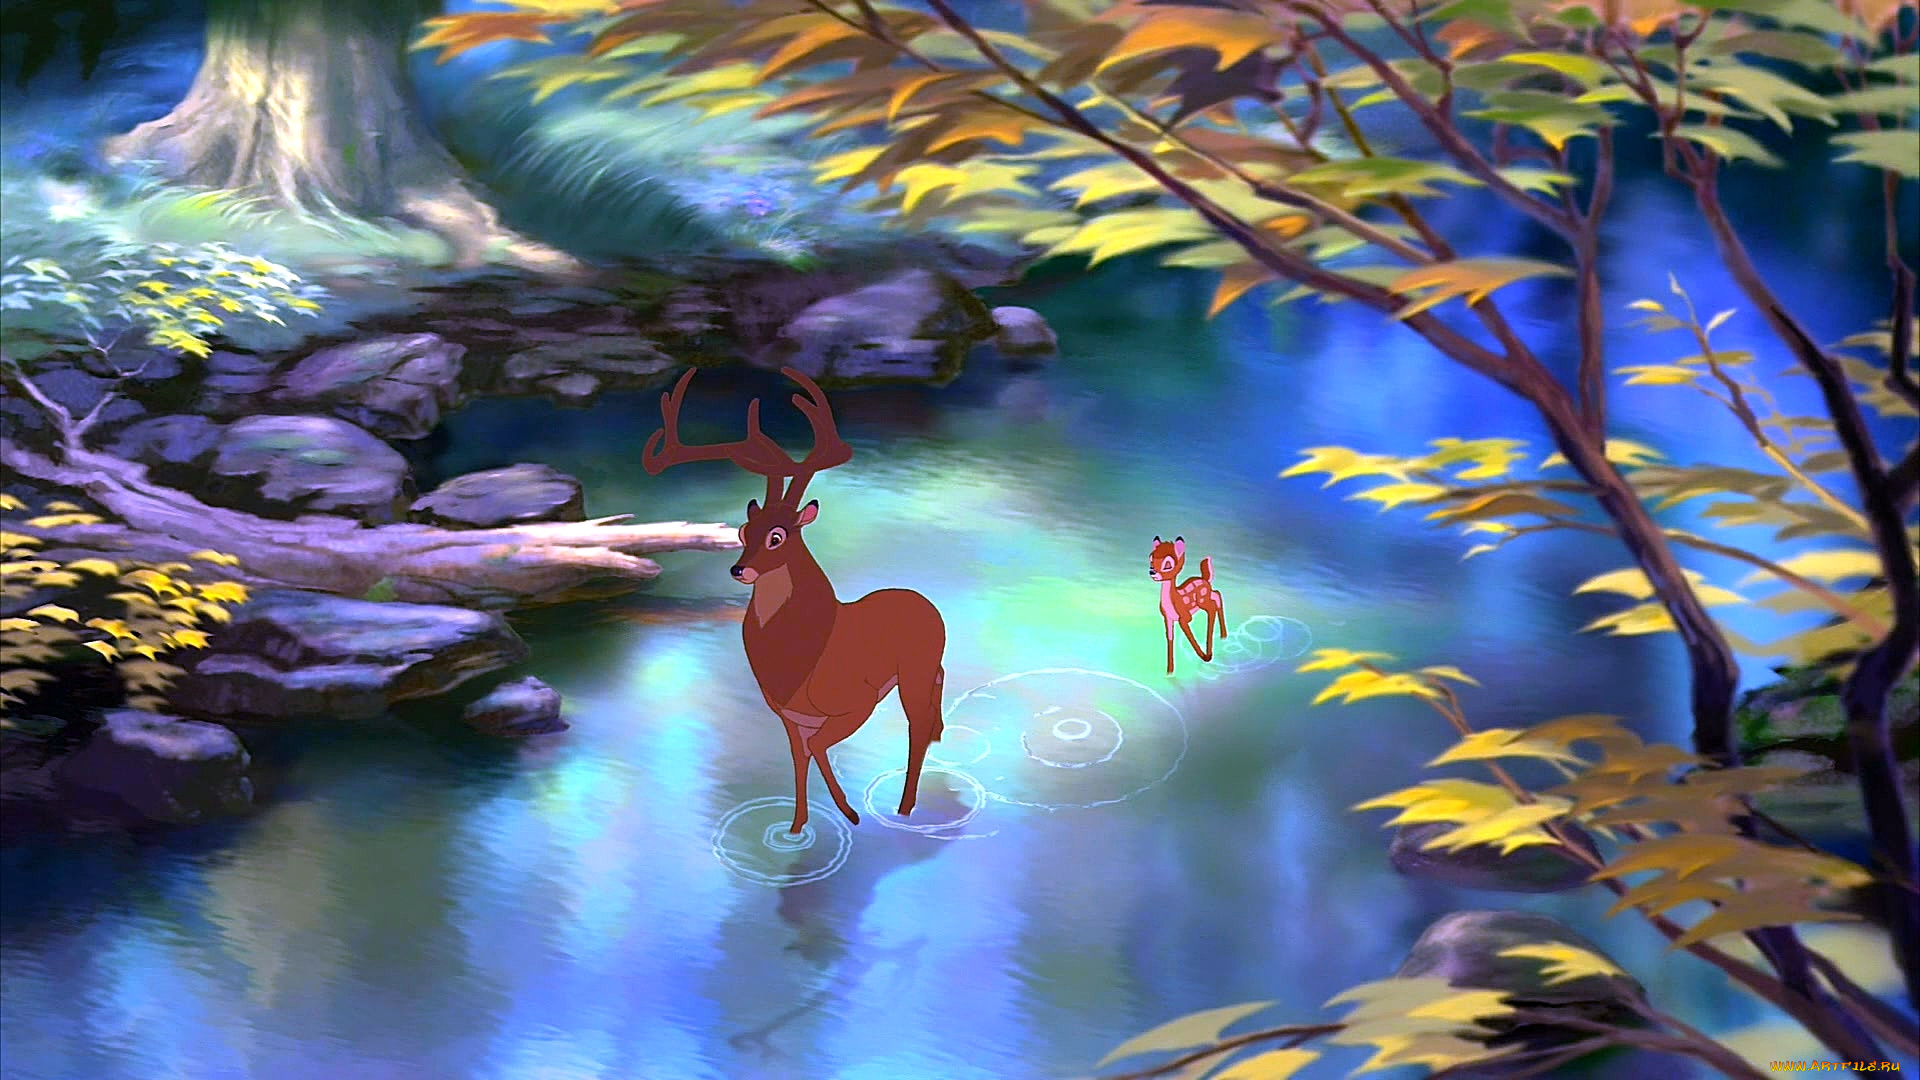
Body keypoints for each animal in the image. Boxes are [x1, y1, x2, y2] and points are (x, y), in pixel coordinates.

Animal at [641, 367, 947, 836]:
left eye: (777, 536)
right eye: (743, 531)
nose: (738, 570)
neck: (805, 657)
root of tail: (928, 604)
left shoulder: (856, 702)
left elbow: (817, 747)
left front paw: (850, 813)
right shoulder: (788, 716)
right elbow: (798, 758)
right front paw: (797, 826)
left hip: (911, 672)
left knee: (916, 722)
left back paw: (906, 806)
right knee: (936, 690)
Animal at [1149, 535, 1227, 676]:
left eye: (1168, 565)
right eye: (1151, 560)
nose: (1152, 571)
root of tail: (1204, 579)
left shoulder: (1185, 617)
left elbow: (1188, 634)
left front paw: (1204, 656)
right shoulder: (1168, 618)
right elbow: (1170, 638)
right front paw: (1170, 670)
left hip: (1203, 600)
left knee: (1212, 607)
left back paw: (1210, 651)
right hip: (1207, 596)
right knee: (1217, 595)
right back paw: (1223, 635)